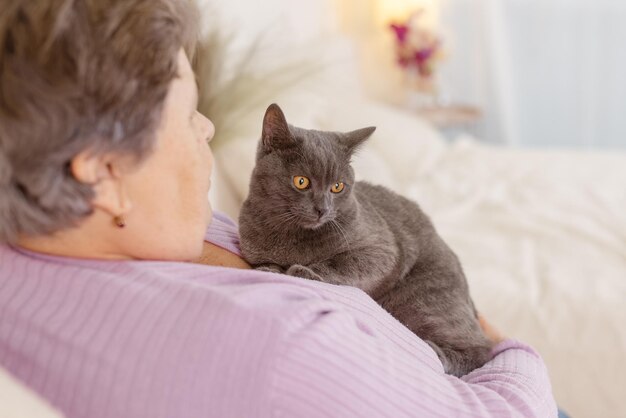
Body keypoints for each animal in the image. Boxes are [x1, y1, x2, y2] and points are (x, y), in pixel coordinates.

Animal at [239, 103, 492, 376]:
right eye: (301, 181)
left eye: (337, 186)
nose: (322, 209)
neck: (293, 236)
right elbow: (265, 262)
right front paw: (270, 269)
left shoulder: (382, 250)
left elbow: (344, 263)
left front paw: (305, 271)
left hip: (425, 299)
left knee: (483, 349)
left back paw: (435, 352)